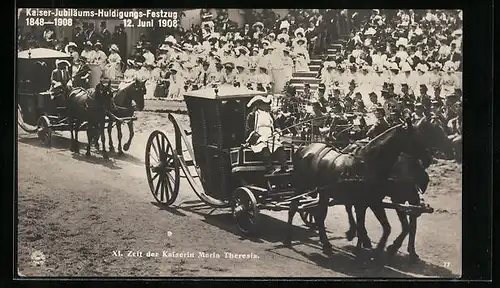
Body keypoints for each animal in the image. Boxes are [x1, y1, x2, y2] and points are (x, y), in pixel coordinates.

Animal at [286, 117, 434, 258]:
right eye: (415, 138)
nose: (428, 159)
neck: (367, 164)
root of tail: (304, 148)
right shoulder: (370, 202)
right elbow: (364, 225)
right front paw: (367, 247)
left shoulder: (373, 202)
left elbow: (384, 227)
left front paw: (376, 249)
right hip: (301, 186)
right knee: (294, 208)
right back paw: (291, 239)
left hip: (324, 192)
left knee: (320, 215)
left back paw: (328, 243)